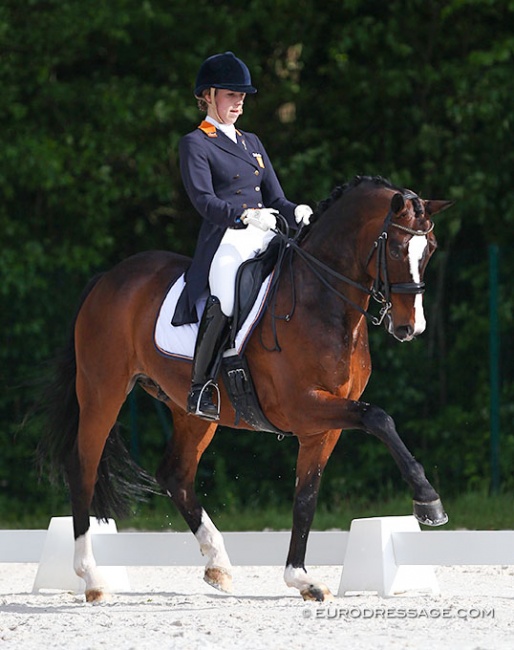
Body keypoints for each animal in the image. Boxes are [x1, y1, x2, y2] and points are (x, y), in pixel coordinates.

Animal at [39, 175, 448, 600]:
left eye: (431, 249)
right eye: (397, 248)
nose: (411, 327)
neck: (322, 302)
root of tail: (108, 278)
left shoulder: (322, 426)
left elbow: (306, 497)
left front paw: (301, 578)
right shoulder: (303, 406)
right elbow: (380, 418)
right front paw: (428, 501)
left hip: (193, 410)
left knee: (175, 474)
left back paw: (217, 563)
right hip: (102, 392)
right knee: (83, 469)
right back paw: (92, 578)